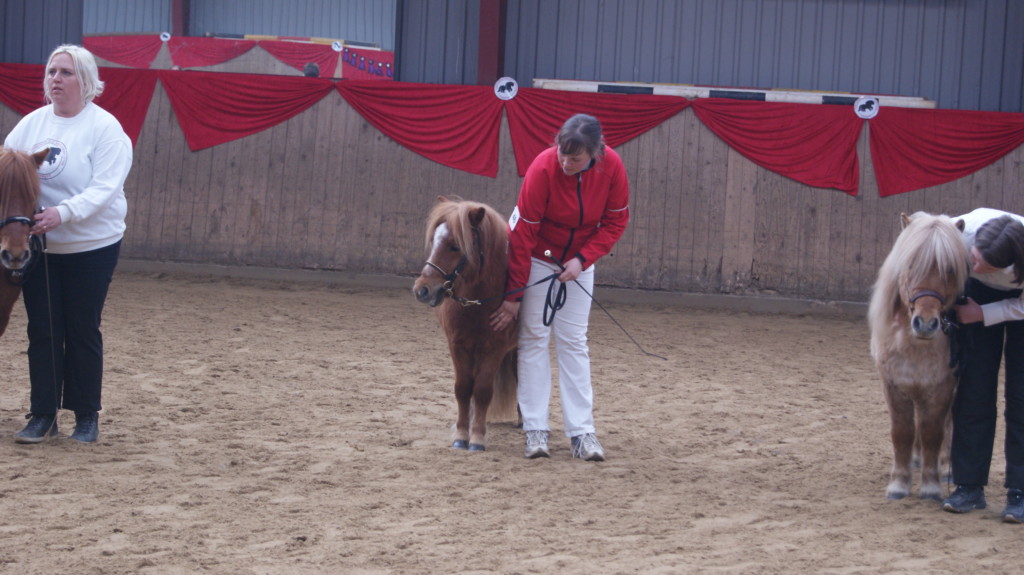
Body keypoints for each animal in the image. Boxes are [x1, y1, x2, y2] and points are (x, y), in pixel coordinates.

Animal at [411, 196, 520, 452]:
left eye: (454, 246)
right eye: (434, 241)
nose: (422, 290)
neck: (477, 303)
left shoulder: (494, 349)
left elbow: (482, 391)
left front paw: (477, 437)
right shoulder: (458, 346)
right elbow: (462, 388)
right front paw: (462, 434)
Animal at [872, 212, 966, 499]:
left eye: (950, 269)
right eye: (910, 264)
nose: (925, 323)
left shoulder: (942, 388)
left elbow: (933, 432)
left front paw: (931, 485)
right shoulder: (894, 385)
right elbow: (902, 431)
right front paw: (899, 483)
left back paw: (946, 468)